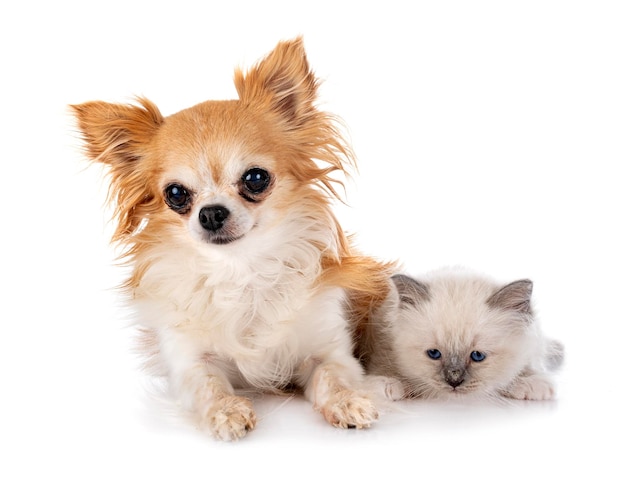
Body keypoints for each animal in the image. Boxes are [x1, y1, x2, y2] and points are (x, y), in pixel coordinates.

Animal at [358, 266, 564, 398]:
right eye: (434, 354)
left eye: (478, 356)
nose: (454, 382)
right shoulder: (383, 341)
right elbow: (385, 364)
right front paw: (385, 382)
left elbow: (527, 365)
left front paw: (531, 382)